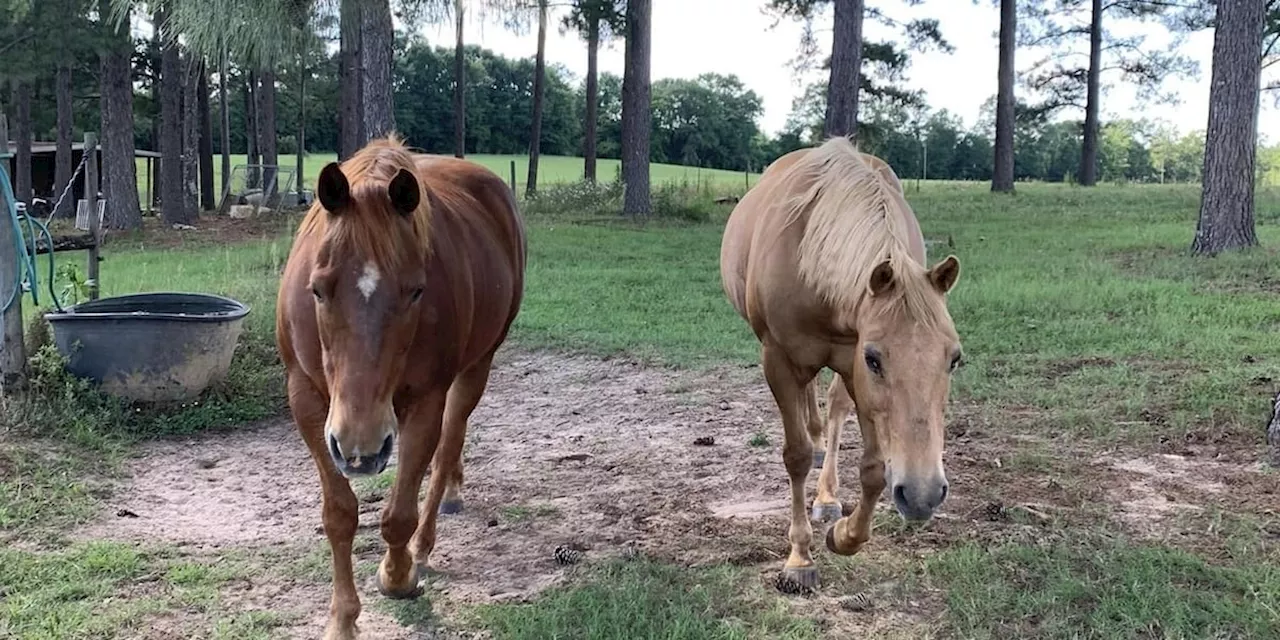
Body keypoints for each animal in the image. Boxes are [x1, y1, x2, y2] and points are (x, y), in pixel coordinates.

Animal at [275, 135, 524, 634]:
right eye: (317, 289)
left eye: (415, 292)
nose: (362, 447)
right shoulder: (307, 401)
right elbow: (340, 514)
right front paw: (342, 621)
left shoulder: (425, 400)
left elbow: (399, 514)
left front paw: (398, 575)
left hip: (477, 366)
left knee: (449, 444)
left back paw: (428, 538)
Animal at [721, 136, 962, 588]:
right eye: (875, 359)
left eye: (955, 359)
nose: (922, 495)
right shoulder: (780, 359)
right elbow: (796, 455)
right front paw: (799, 558)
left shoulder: (850, 366)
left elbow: (873, 467)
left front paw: (844, 534)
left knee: (830, 410)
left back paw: (828, 494)